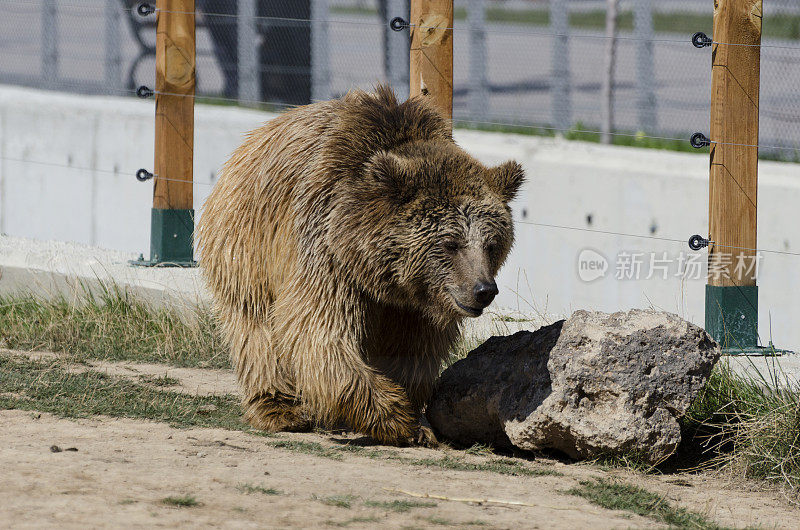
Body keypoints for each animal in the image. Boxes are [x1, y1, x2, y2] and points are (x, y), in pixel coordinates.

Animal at [198, 85, 524, 442]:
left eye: (492, 244)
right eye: (450, 243)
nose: (483, 290)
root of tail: (254, 137)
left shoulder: (416, 305)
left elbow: (414, 349)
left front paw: (417, 421)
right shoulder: (327, 251)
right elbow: (319, 332)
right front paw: (395, 414)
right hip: (248, 241)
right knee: (255, 325)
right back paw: (279, 408)